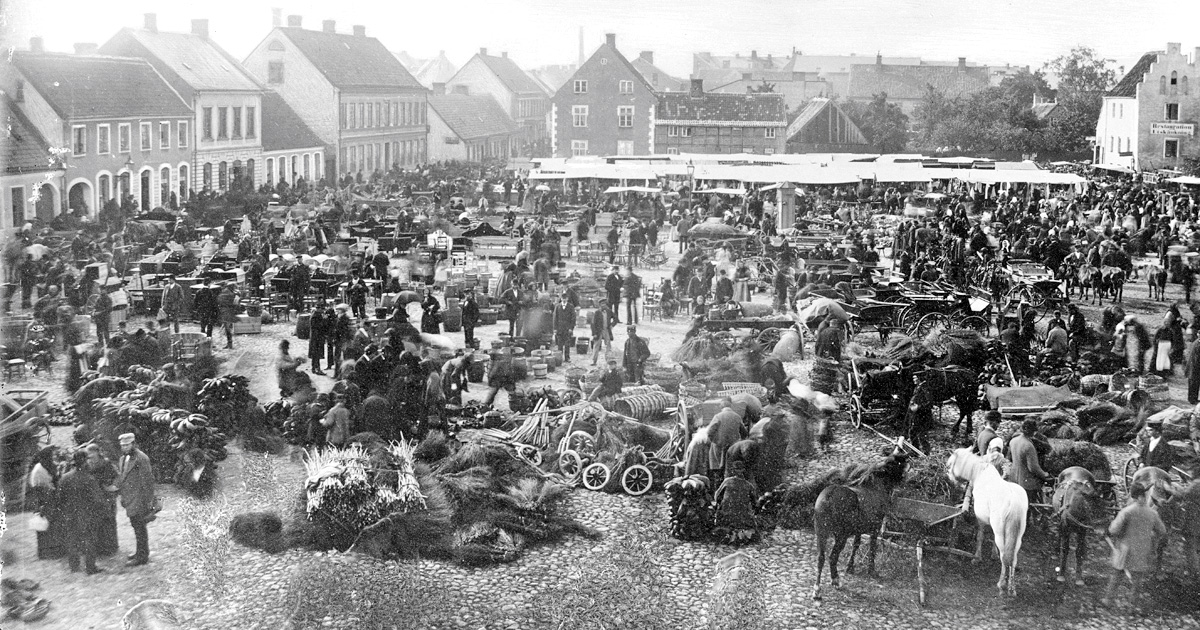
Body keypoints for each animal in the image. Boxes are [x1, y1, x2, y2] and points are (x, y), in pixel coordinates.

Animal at [811, 446, 902, 600]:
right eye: (898, 462)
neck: (874, 487)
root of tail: (828, 497)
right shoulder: (875, 527)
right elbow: (872, 547)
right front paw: (871, 570)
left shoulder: (859, 529)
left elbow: (856, 544)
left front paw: (850, 567)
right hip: (840, 535)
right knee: (832, 557)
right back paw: (836, 581)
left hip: (821, 532)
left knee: (821, 557)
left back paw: (817, 590)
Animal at [945, 446, 1032, 595]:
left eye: (950, 464)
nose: (951, 481)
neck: (979, 473)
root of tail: (1013, 500)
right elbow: (992, 540)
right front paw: (992, 554)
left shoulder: (981, 519)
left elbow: (980, 536)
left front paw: (977, 558)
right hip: (1018, 536)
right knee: (1013, 558)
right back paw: (1012, 588)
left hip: (1001, 532)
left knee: (1005, 556)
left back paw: (1001, 584)